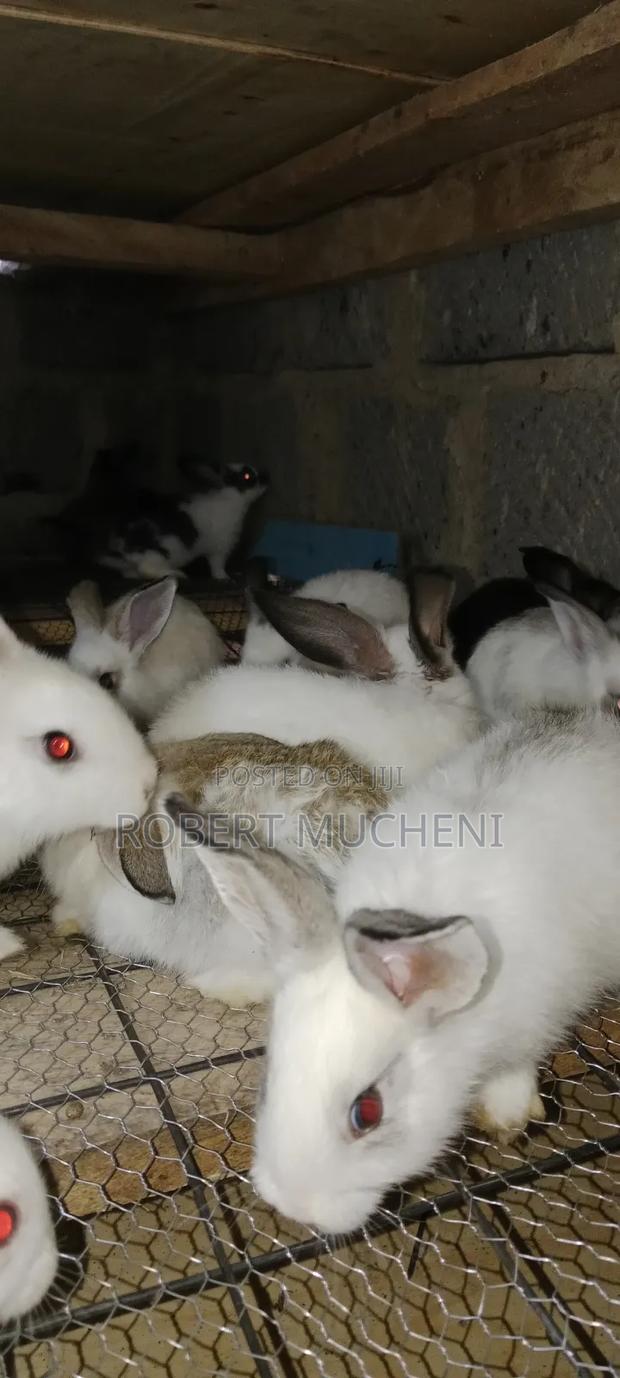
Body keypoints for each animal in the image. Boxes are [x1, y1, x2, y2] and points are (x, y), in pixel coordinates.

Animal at [183, 705, 620, 1234]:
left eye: (367, 1113)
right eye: (269, 1080)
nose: (295, 1207)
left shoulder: (539, 1012)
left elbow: (517, 1065)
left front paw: (507, 1116)